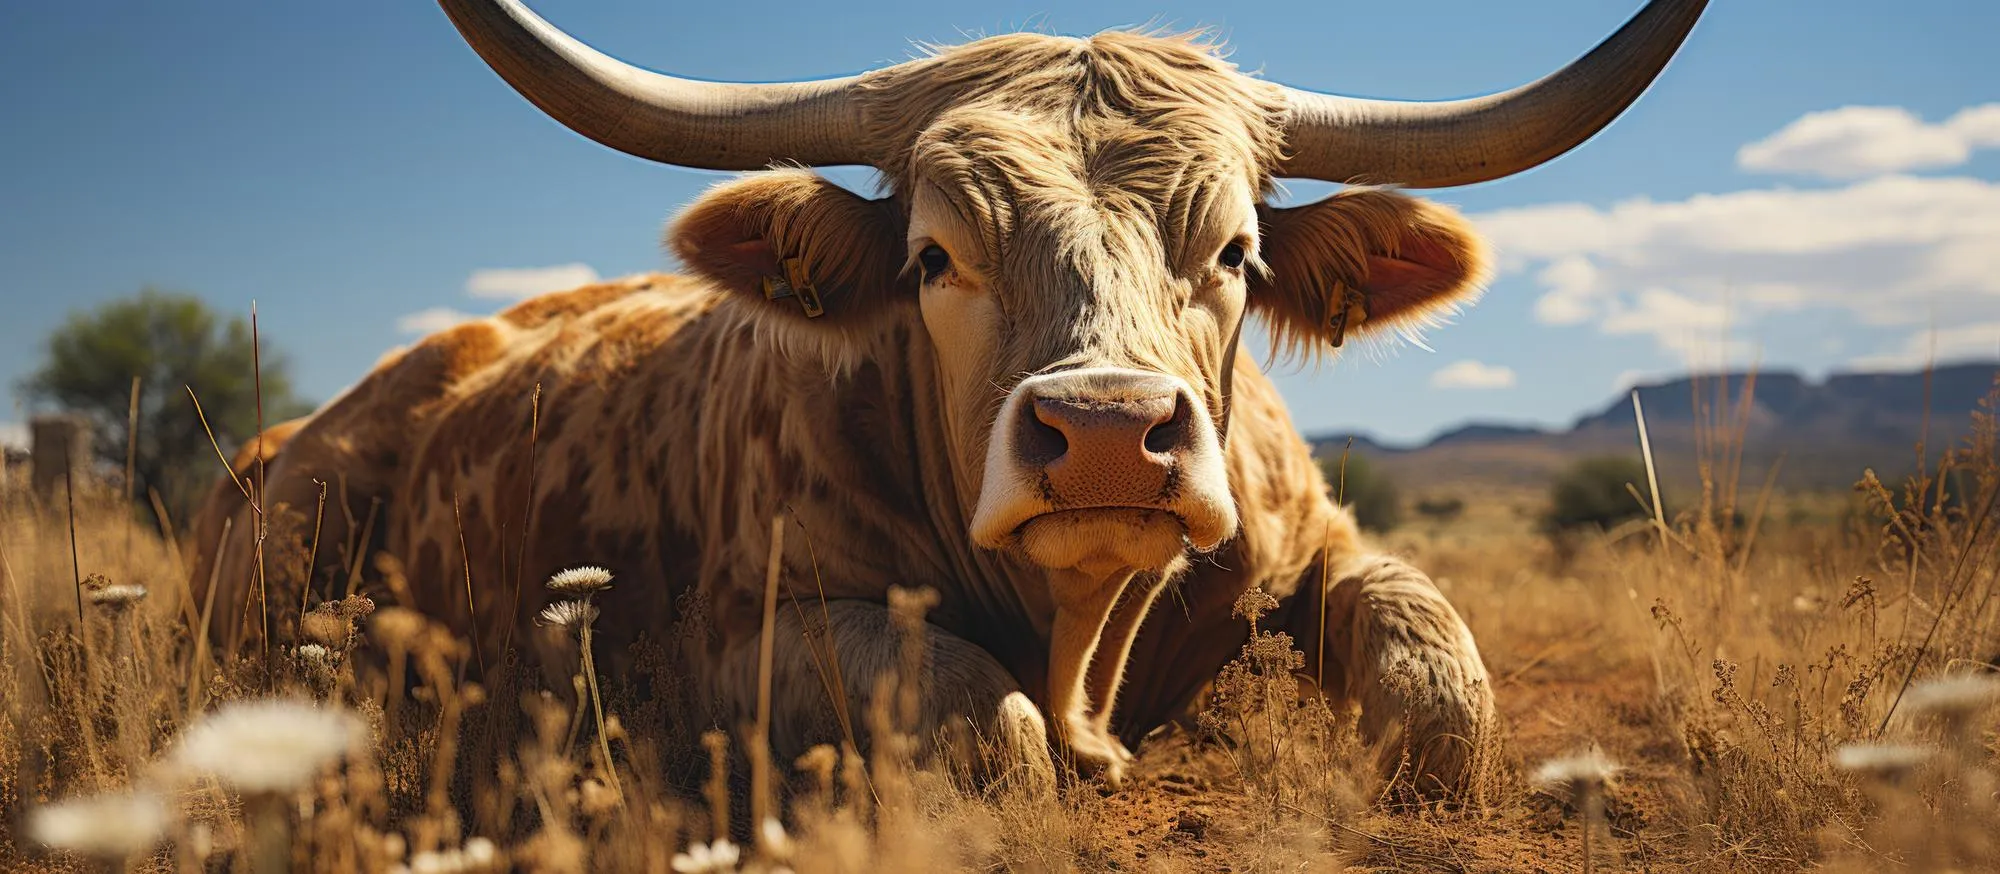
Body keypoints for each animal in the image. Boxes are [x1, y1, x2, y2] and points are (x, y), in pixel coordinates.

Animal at [191, 0, 1705, 792]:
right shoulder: (752, 634)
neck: (1083, 638)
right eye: (933, 255)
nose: (1108, 435)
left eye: (1235, 251)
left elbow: (1440, 688)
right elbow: (993, 725)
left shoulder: (1320, 547)